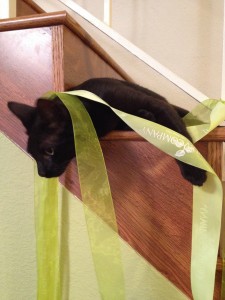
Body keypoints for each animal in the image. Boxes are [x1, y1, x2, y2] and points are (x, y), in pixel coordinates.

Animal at [7, 78, 207, 185]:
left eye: (49, 151)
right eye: (33, 154)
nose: (42, 173)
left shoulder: (157, 105)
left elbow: (178, 136)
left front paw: (195, 170)